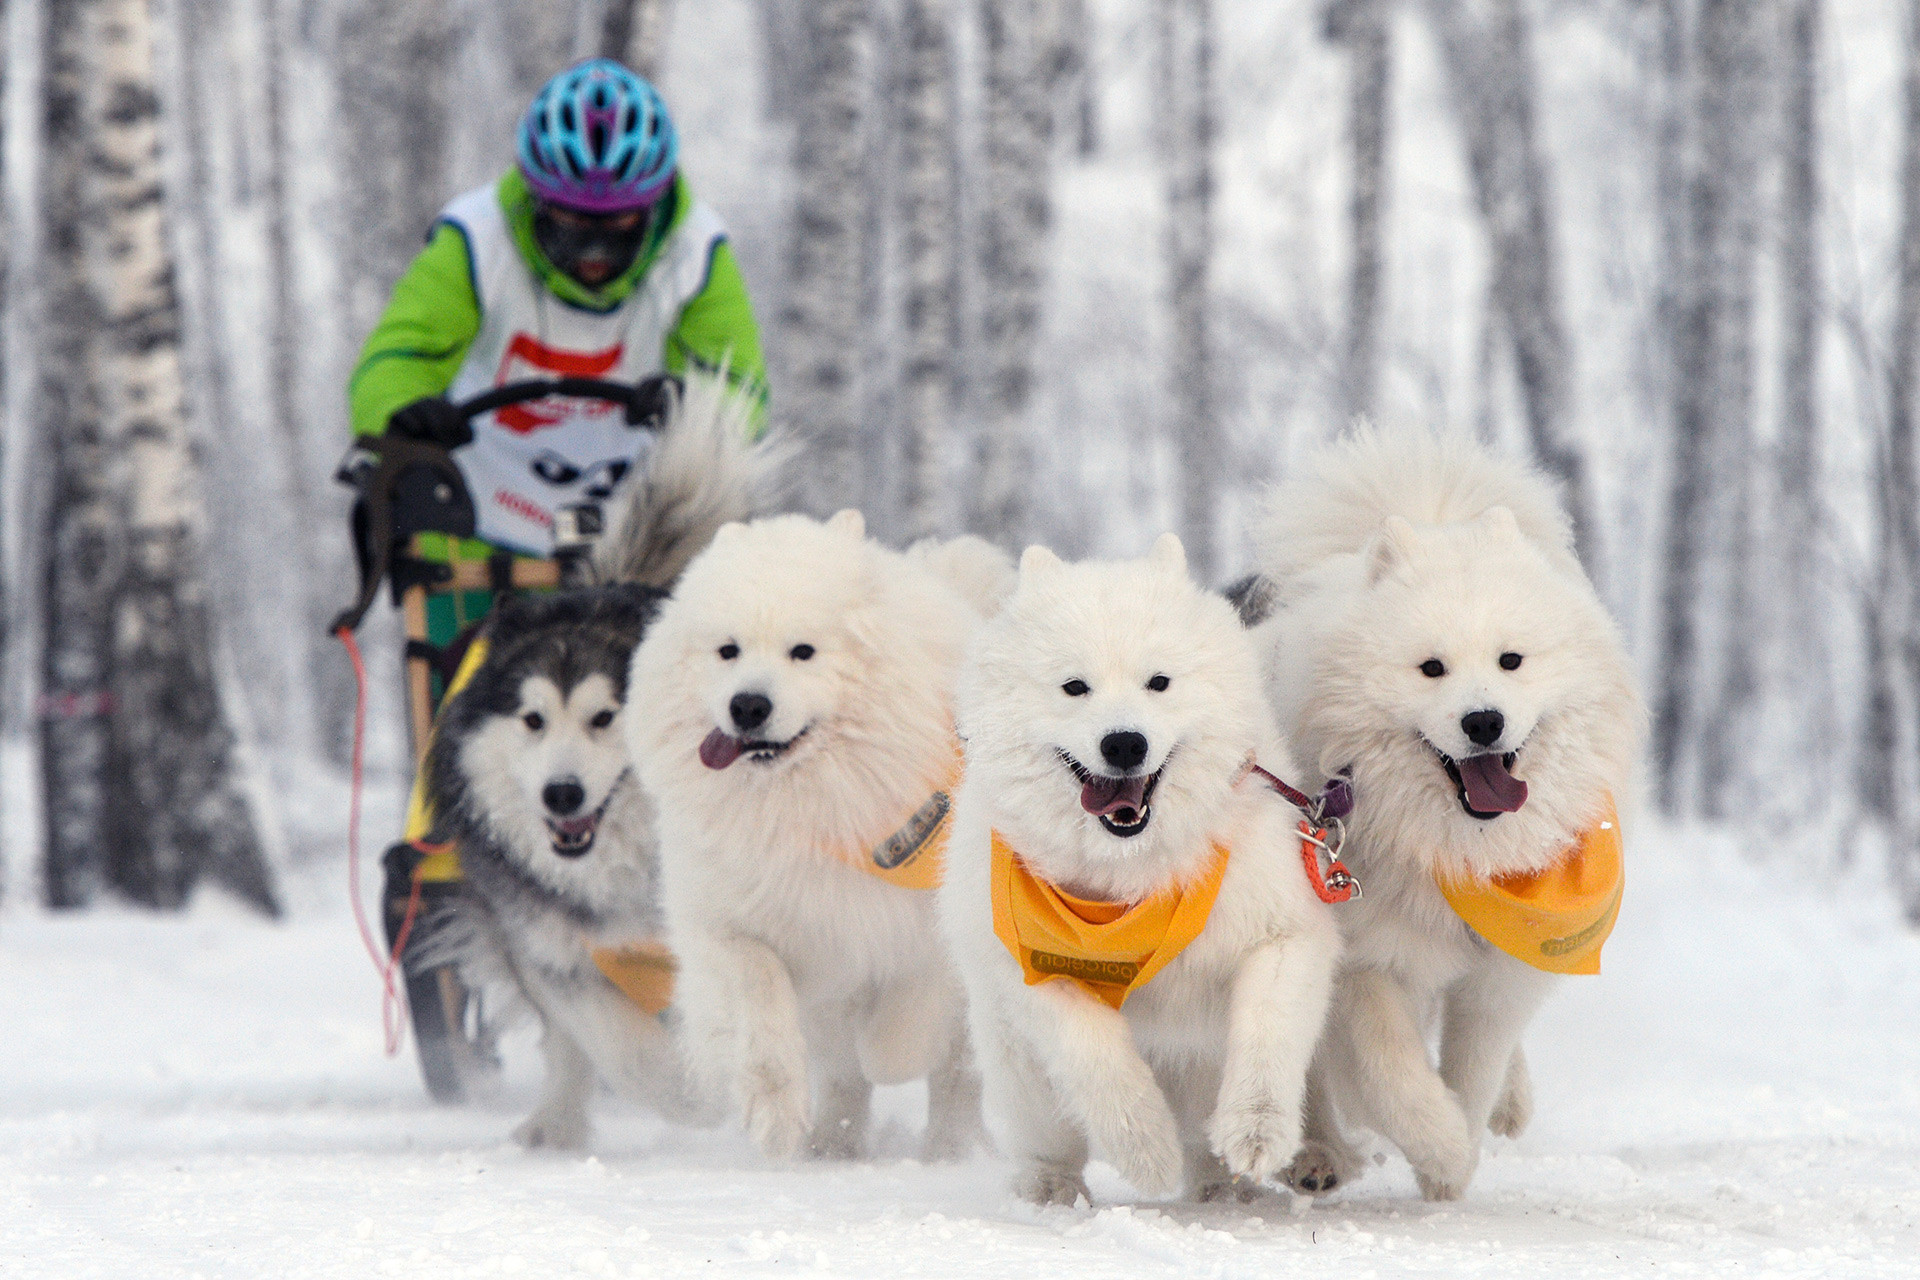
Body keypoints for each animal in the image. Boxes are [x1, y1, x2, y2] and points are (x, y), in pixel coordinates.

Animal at [629, 510, 1021, 1159]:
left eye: (803, 652)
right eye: (728, 651)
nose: (747, 705)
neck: (809, 808)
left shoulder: (923, 931)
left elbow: (904, 1031)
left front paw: (888, 1053)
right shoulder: (730, 926)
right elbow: (761, 1006)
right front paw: (774, 1115)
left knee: (955, 1084)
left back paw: (945, 1153)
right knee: (843, 1081)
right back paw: (831, 1150)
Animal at [936, 533, 1344, 1212]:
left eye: (1159, 683)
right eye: (1075, 687)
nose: (1124, 743)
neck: (1134, 876)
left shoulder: (1282, 934)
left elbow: (1267, 1036)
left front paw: (1255, 1131)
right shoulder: (1037, 969)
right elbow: (1096, 1058)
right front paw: (1146, 1152)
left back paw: (1237, 1180)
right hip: (1019, 1064)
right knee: (1048, 1132)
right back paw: (1052, 1183)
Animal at [1251, 427, 1643, 1205]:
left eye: (1511, 660)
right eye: (1431, 668)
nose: (1483, 720)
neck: (1460, 852)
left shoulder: (1499, 974)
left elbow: (1474, 1067)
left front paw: (1456, 1157)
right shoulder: (1368, 960)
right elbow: (1393, 1077)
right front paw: (1442, 1150)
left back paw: (1510, 1108)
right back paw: (1319, 1154)